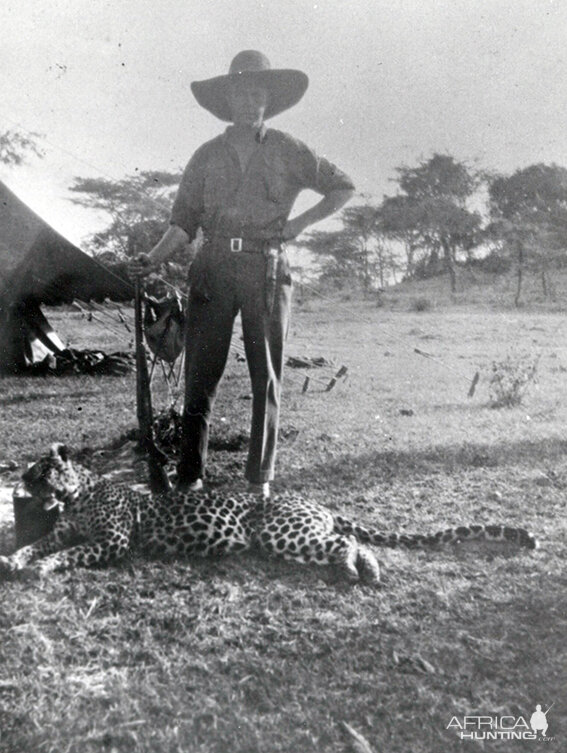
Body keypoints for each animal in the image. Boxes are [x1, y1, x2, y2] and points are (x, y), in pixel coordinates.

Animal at [0, 444, 536, 584]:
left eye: (39, 472)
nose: (21, 485)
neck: (77, 495)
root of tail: (316, 503)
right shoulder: (63, 530)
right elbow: (39, 541)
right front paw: (15, 559)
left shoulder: (112, 541)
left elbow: (69, 554)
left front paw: (41, 568)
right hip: (286, 542)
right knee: (349, 542)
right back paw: (361, 570)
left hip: (282, 532)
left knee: (348, 540)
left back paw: (358, 570)